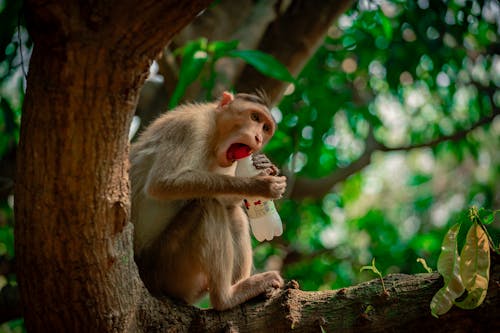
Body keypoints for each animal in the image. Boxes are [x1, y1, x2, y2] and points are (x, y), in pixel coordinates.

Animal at [130, 90, 286, 308]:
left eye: (265, 128)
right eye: (255, 117)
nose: (257, 138)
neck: (214, 136)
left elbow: (227, 200)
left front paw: (265, 165)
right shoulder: (189, 127)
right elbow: (161, 184)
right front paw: (259, 185)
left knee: (232, 213)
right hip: (162, 267)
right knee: (208, 205)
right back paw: (226, 298)